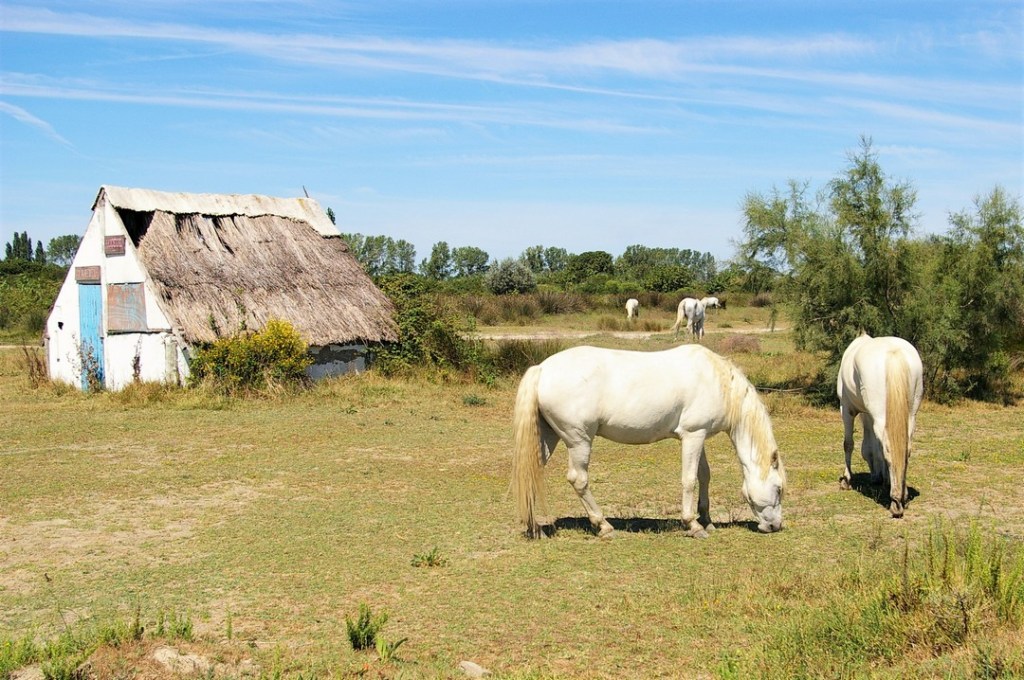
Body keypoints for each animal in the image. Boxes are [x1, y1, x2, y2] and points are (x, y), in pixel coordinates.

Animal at [511, 344, 786, 539]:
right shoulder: (692, 435)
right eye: (778, 489)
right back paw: (603, 526)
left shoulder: (698, 436)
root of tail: (542, 369)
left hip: (548, 436)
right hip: (579, 441)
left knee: (530, 472)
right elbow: (689, 479)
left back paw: (534, 526)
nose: (774, 526)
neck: (717, 381)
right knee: (579, 480)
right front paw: (693, 524)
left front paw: (706, 520)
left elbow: (704, 476)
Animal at [837, 334, 923, 518]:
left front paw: (846, 480)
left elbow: (849, 444)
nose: (875, 477)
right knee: (904, 450)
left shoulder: (846, 409)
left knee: (889, 449)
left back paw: (896, 501)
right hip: (910, 417)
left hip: (879, 415)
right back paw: (902, 493)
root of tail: (893, 352)